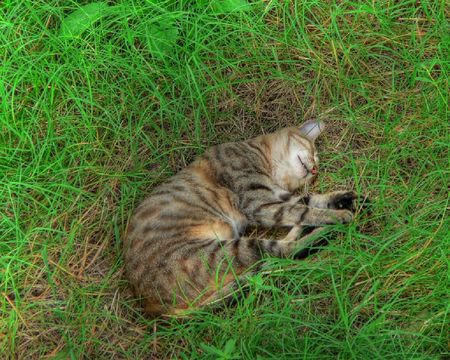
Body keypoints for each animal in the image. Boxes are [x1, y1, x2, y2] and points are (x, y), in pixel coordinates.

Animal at [125, 119, 360, 316]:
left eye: (316, 166)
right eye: (313, 152)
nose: (315, 170)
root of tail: (151, 305)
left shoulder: (277, 197)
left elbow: (309, 200)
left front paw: (341, 197)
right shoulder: (257, 203)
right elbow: (304, 210)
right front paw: (336, 213)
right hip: (221, 250)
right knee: (282, 251)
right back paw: (327, 228)